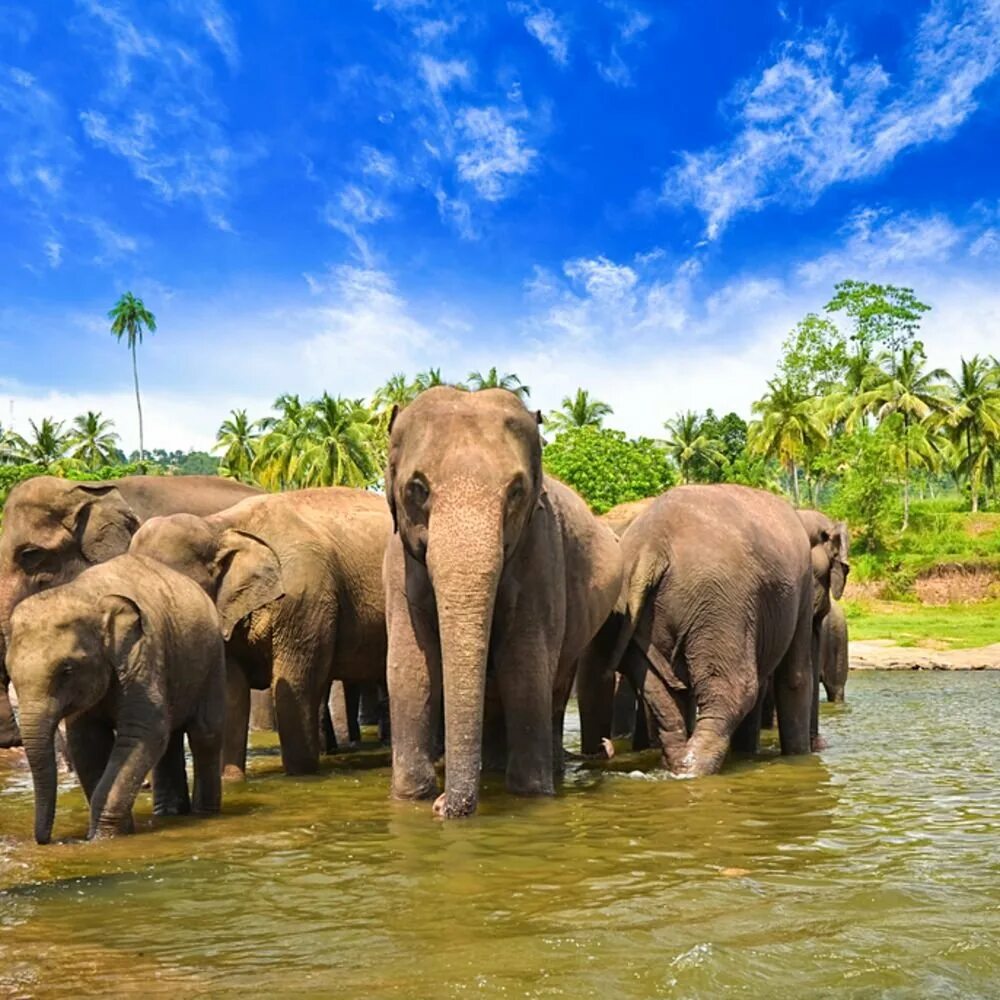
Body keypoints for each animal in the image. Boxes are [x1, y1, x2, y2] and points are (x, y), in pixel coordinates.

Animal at [5, 556, 226, 844]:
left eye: (67, 670)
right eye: (10, 673)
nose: (46, 840)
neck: (86, 595)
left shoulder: (141, 655)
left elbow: (142, 733)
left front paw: (102, 837)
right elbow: (87, 742)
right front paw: (111, 832)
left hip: (212, 657)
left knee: (204, 733)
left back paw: (205, 813)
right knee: (171, 738)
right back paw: (170, 813)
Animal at [126, 488, 390, 776]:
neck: (218, 526)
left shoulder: (305, 599)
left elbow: (296, 686)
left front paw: (300, 775)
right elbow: (233, 691)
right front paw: (233, 778)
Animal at [380, 386, 616, 816]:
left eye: (516, 491)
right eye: (417, 488)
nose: (441, 804)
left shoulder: (540, 551)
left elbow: (524, 666)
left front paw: (531, 794)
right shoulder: (397, 561)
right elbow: (411, 670)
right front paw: (411, 797)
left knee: (555, 688)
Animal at [576, 482, 816, 772]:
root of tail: (651, 546)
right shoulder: (803, 586)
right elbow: (795, 676)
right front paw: (800, 759)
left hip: (635, 608)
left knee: (664, 693)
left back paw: (678, 764)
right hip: (720, 601)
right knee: (735, 691)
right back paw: (693, 769)